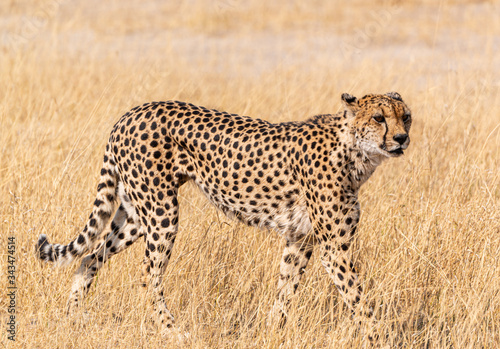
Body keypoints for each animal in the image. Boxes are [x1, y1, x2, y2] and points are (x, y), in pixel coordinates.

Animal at [37, 92, 412, 332]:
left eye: (405, 117)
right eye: (379, 118)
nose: (402, 139)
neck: (355, 152)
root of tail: (132, 112)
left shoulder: (299, 238)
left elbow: (285, 290)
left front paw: (273, 332)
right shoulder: (334, 247)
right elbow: (358, 298)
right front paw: (379, 337)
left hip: (135, 214)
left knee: (90, 256)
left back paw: (72, 317)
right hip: (162, 213)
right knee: (148, 275)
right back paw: (171, 330)